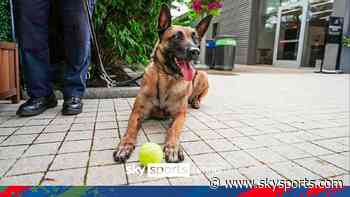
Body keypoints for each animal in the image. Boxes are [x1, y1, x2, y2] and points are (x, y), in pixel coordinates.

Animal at [115, 5, 212, 163]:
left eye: (195, 38)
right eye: (176, 36)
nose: (195, 51)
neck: (166, 78)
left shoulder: (180, 115)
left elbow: (174, 129)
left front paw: (173, 147)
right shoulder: (137, 112)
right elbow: (130, 129)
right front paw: (125, 145)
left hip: (203, 75)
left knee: (198, 96)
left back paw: (196, 102)